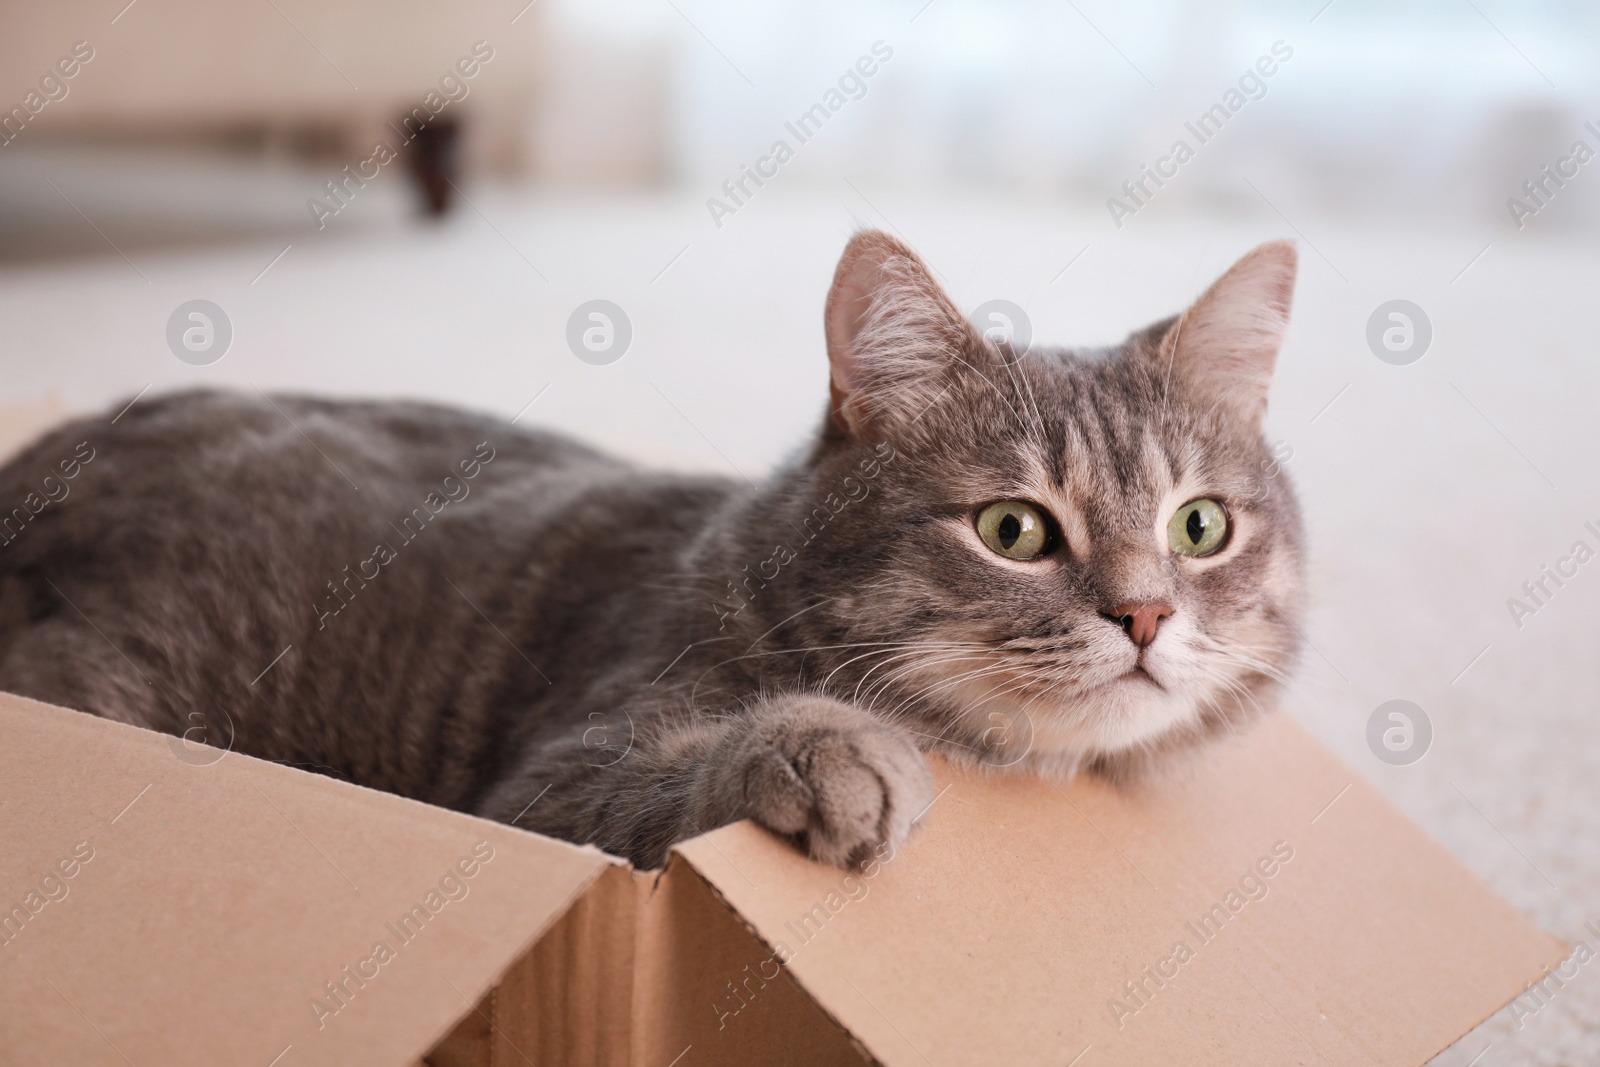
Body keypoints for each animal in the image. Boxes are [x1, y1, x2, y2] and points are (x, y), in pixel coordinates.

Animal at [0, 231, 1299, 870]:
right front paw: (824, 745)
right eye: (1012, 529)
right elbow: (678, 772)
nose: (1145, 613)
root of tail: (46, 461)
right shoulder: (546, 786)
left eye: (1199, 525)